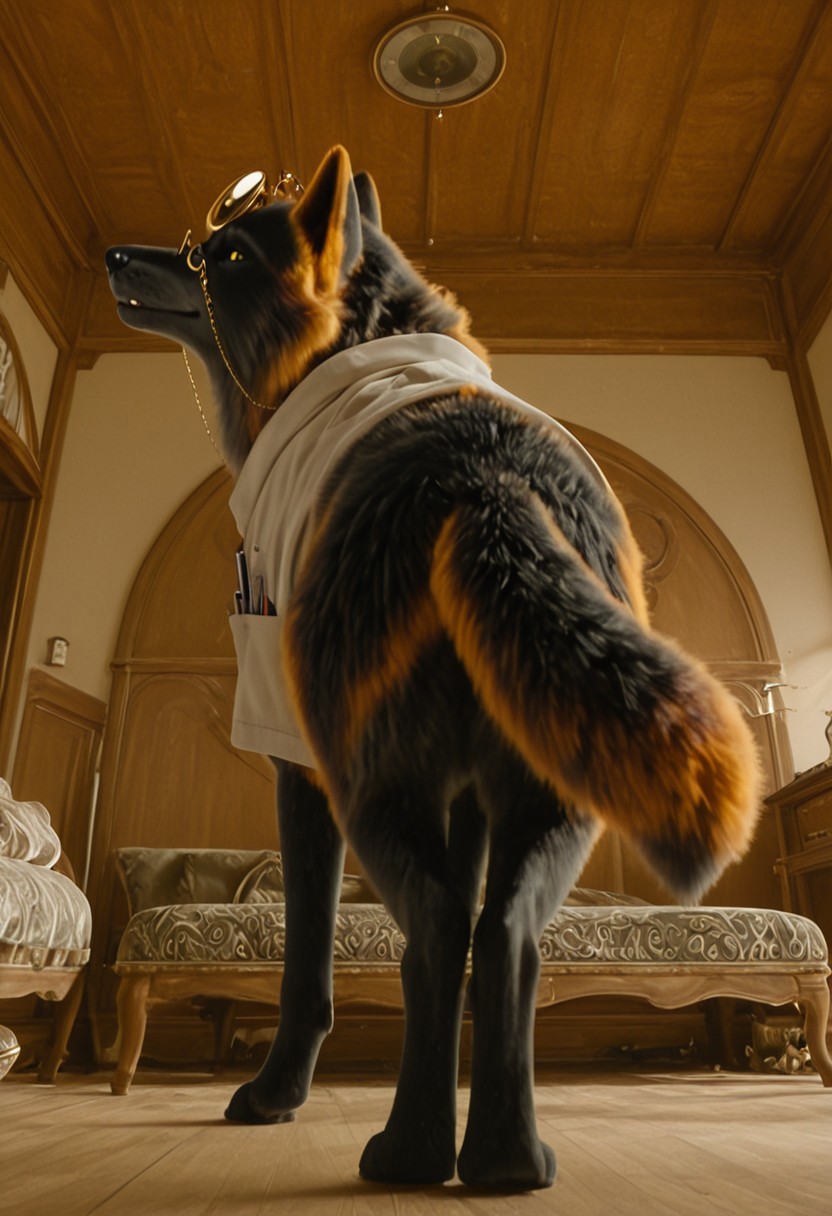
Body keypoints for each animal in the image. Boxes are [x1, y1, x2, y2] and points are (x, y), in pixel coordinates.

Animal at [106, 145, 760, 1190]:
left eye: (229, 253)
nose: (116, 255)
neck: (359, 341)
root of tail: (486, 480)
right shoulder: (471, 801)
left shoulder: (298, 763)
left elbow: (310, 961)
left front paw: (276, 1095)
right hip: (548, 792)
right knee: (504, 937)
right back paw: (504, 1155)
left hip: (377, 783)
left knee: (440, 933)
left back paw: (412, 1150)